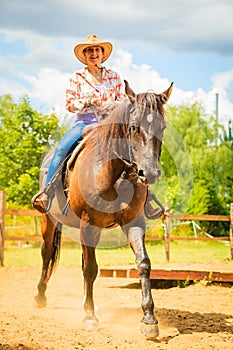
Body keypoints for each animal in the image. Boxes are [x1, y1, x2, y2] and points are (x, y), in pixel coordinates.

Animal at [34, 80, 173, 338]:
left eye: (163, 126)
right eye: (133, 127)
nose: (149, 173)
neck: (112, 173)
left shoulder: (133, 222)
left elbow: (143, 263)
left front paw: (149, 319)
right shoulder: (87, 223)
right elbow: (90, 269)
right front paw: (90, 317)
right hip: (50, 220)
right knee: (47, 253)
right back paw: (40, 296)